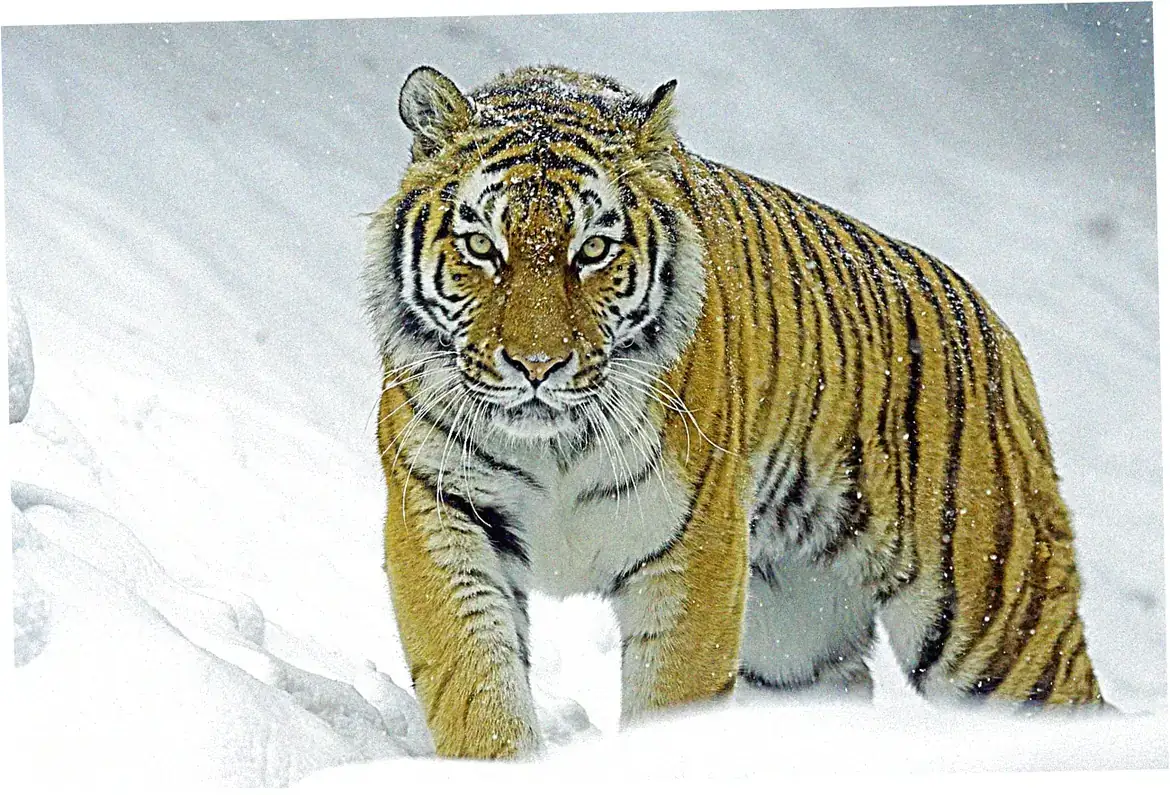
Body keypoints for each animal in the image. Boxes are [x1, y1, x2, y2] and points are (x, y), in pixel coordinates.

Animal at [363, 64, 1105, 759]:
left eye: (593, 250)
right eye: (482, 247)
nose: (537, 365)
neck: (556, 446)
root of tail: (993, 326)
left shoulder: (695, 547)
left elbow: (672, 698)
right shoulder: (443, 511)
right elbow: (476, 683)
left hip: (997, 622)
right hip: (795, 642)